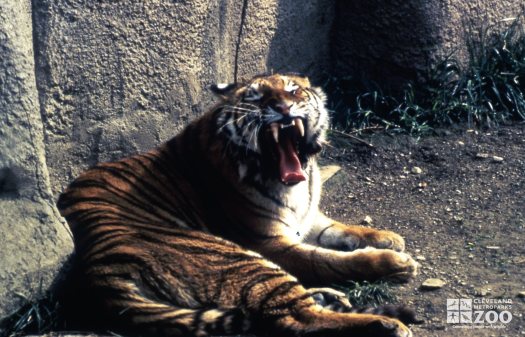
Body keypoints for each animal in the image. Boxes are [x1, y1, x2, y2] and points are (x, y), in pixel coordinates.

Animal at [57, 73, 418, 336]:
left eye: (294, 90)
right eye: (257, 98)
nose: (283, 108)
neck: (294, 184)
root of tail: (97, 268)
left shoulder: (307, 218)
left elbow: (339, 230)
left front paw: (388, 238)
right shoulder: (270, 243)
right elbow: (326, 260)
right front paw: (396, 261)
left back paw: (330, 296)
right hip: (236, 257)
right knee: (293, 316)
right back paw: (387, 325)